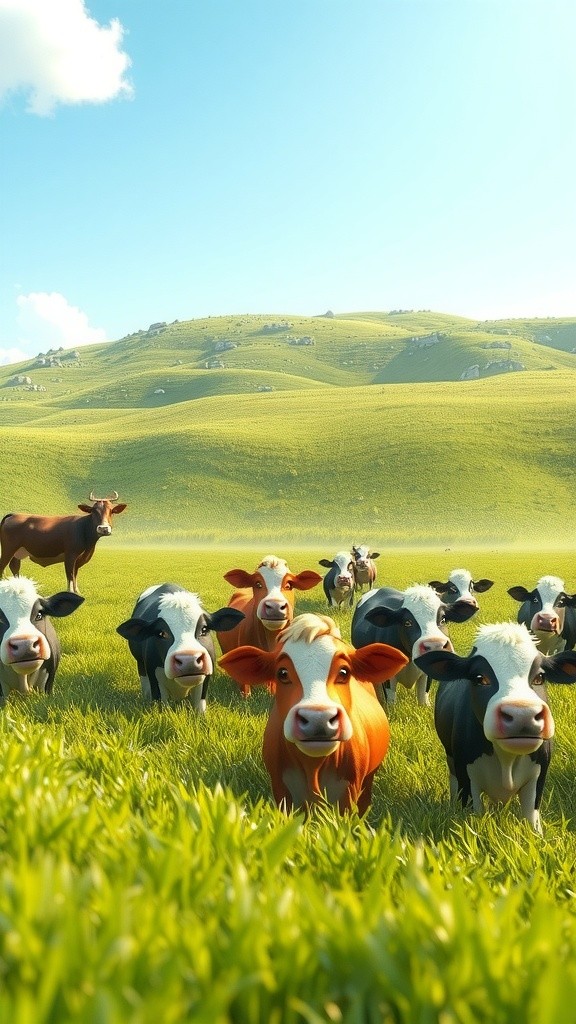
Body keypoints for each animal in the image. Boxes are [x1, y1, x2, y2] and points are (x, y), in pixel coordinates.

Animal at [116, 583, 245, 709]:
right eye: (161, 633)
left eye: (204, 629)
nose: (189, 660)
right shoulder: (153, 675)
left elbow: (200, 706)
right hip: (140, 662)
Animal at [219, 613, 409, 814]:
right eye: (282, 673)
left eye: (344, 672)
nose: (318, 718)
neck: (313, 768)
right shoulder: (280, 789)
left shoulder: (349, 791)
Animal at [415, 622, 576, 832]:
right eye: (479, 678)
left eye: (540, 677)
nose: (522, 715)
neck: (506, 761)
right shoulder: (466, 776)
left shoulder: (540, 774)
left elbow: (532, 821)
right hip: (450, 756)